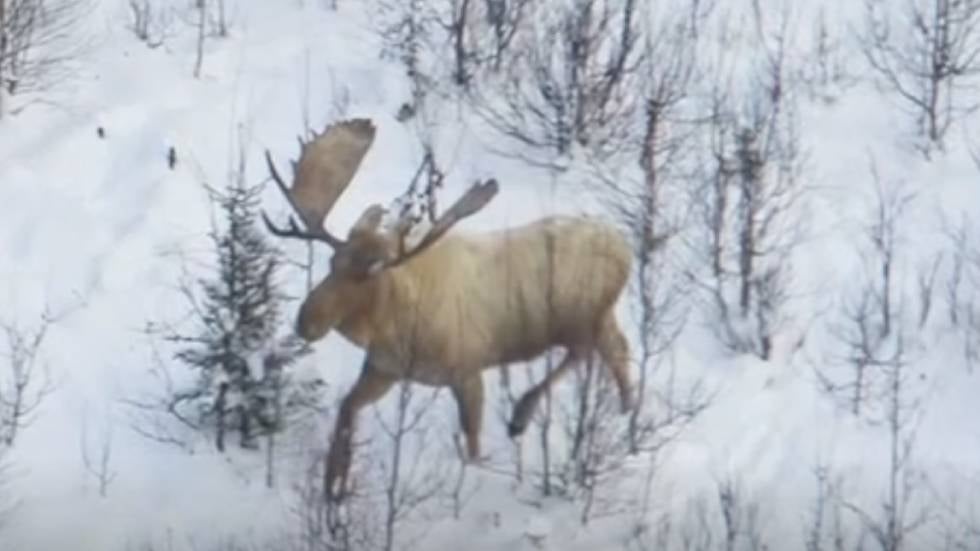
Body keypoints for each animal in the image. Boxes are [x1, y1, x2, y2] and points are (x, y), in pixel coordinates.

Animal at [260, 118, 636, 501]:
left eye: (369, 274)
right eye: (332, 263)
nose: (306, 321)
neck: (394, 327)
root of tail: (625, 248)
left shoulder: (467, 369)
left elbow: (472, 444)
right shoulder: (384, 369)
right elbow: (347, 409)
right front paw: (333, 485)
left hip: (581, 317)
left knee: (586, 352)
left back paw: (522, 416)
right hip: (601, 317)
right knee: (616, 352)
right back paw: (626, 419)